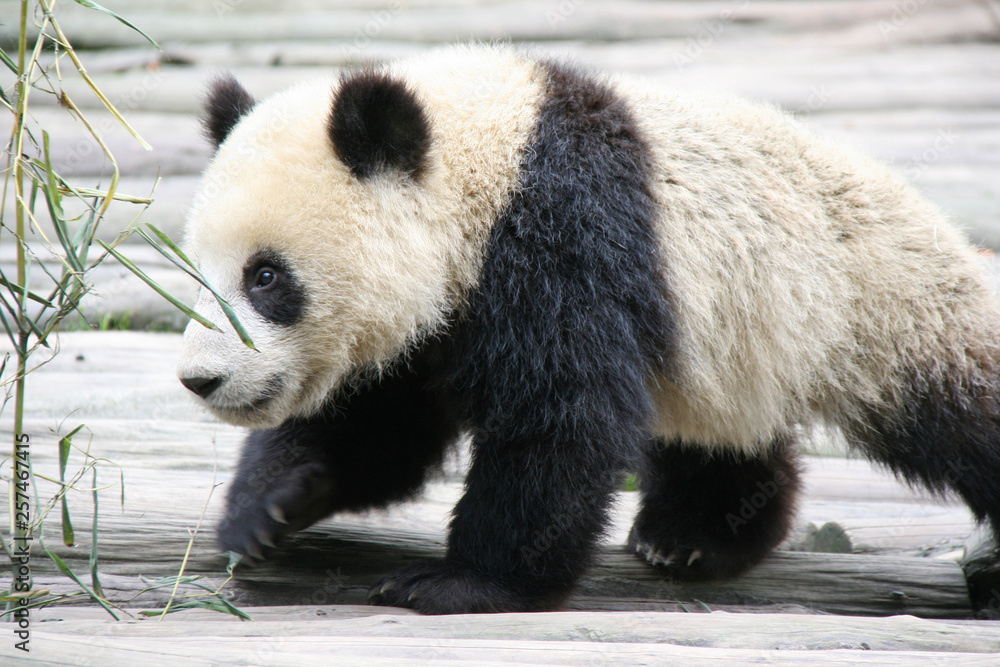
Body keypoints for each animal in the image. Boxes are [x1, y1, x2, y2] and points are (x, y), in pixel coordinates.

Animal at [176, 44, 1000, 614]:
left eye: (266, 277)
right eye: (199, 273)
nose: (202, 379)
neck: (483, 157)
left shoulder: (561, 239)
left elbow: (561, 418)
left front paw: (459, 582)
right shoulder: (436, 322)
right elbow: (384, 424)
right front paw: (267, 506)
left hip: (882, 311)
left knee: (963, 413)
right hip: (739, 345)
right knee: (722, 433)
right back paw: (695, 534)